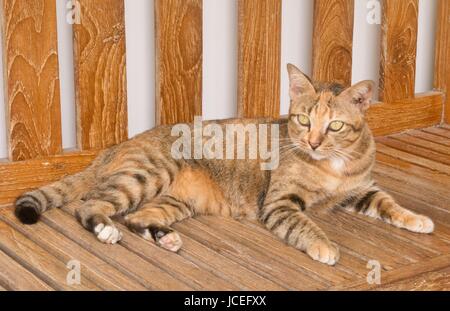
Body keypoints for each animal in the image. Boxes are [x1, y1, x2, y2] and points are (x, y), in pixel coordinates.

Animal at [15, 64, 434, 266]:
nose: (312, 142)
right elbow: (305, 225)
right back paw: (105, 230)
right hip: (147, 175)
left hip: (176, 200)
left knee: (136, 218)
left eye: (334, 125)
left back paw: (164, 237)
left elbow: (390, 203)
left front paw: (416, 219)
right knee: (91, 206)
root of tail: (115, 146)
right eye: (302, 119)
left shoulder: (362, 189)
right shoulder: (280, 203)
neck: (331, 165)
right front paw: (323, 246)